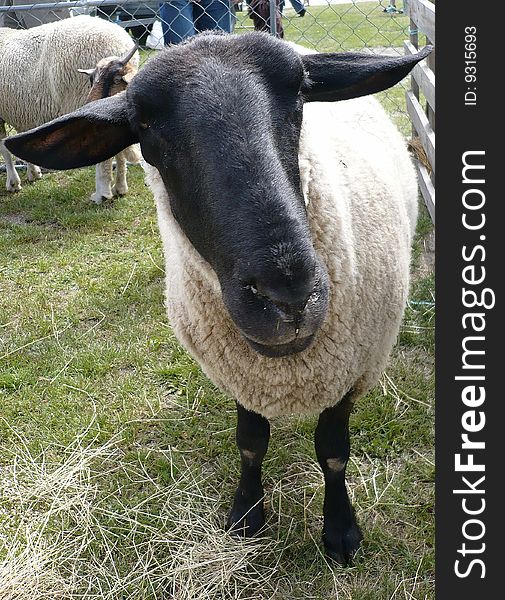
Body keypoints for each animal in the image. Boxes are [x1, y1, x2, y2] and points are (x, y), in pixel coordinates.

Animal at [0, 13, 139, 202]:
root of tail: (118, 42)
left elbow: (4, 148)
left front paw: (13, 182)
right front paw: (33, 173)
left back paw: (101, 193)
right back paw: (119, 187)